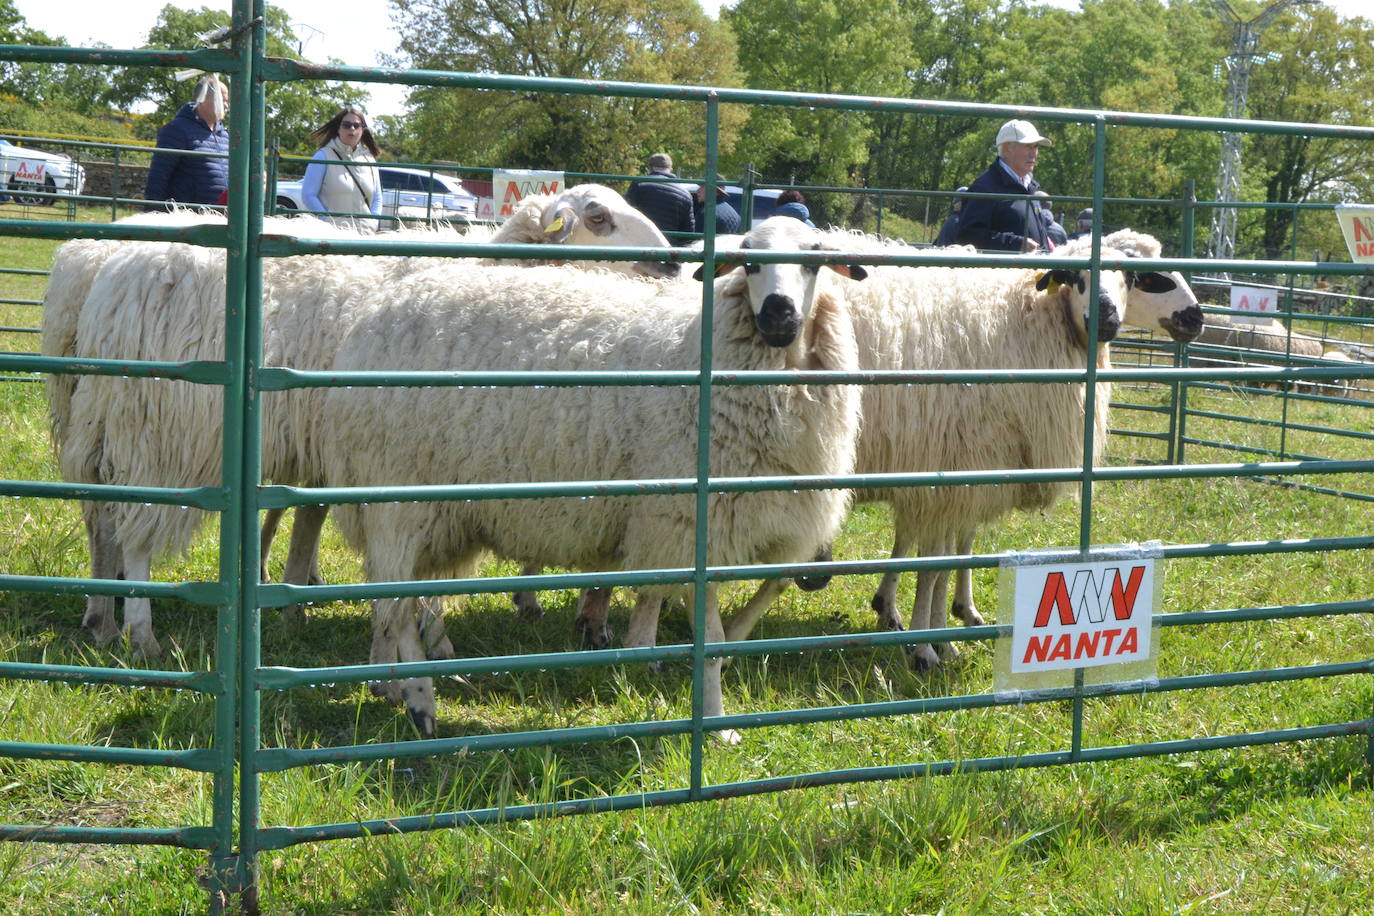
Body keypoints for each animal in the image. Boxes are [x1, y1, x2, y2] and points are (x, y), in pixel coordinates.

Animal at [316, 218, 862, 741]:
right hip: (398, 496)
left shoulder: (772, 520)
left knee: (396, 598)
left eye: (814, 260)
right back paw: (419, 702)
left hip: (435, 513)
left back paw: (389, 683)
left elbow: (766, 595)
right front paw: (714, 723)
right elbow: (709, 636)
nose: (778, 315)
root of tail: (372, 315)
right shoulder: (690, 525)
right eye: (748, 262)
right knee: (396, 604)